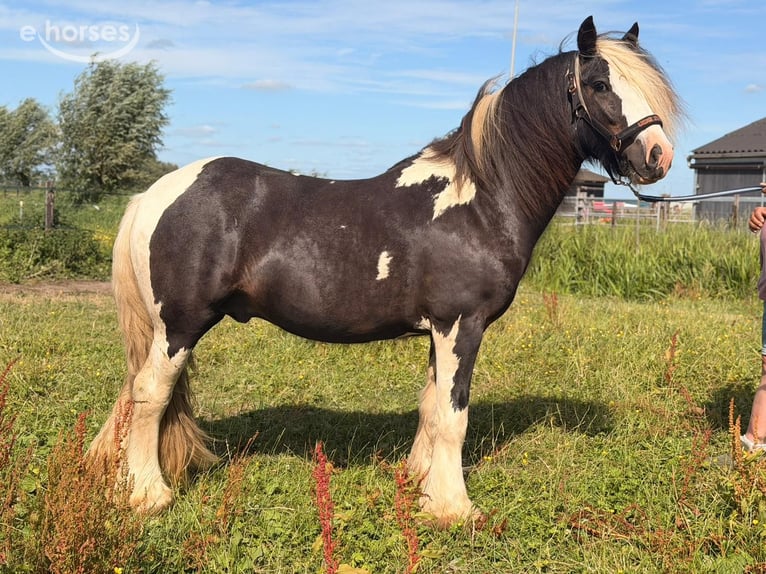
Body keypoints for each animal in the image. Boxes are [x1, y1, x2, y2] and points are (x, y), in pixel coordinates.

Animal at [89, 16, 683, 526]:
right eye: (601, 83)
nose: (658, 155)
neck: (480, 199)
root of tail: (153, 194)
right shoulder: (461, 325)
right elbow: (454, 416)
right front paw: (455, 508)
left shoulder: (440, 330)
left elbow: (431, 409)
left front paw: (421, 484)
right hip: (179, 326)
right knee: (149, 396)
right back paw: (148, 495)